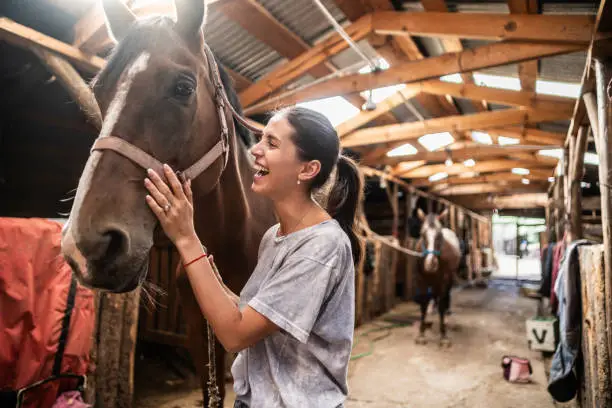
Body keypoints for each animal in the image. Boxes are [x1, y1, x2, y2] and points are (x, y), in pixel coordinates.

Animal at [414, 210, 462, 348]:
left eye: (439, 235)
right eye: (422, 234)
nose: (431, 264)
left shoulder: (444, 280)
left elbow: (441, 305)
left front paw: (443, 336)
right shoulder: (421, 280)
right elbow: (423, 303)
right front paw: (421, 334)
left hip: (448, 280)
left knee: (446, 298)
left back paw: (446, 317)